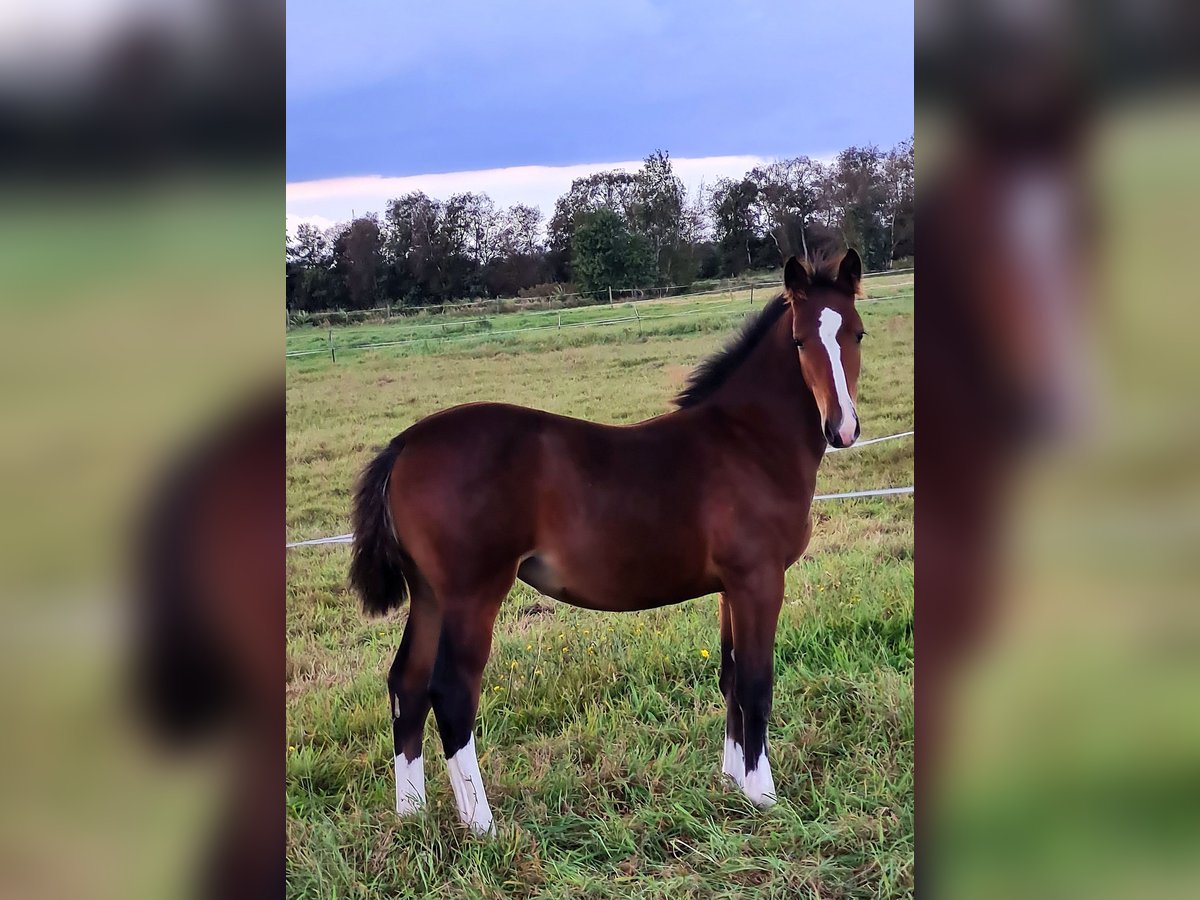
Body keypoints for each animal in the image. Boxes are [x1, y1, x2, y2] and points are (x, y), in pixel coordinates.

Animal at [348, 248, 864, 840]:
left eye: (857, 332)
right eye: (801, 341)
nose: (842, 428)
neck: (749, 441)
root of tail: (405, 443)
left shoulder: (731, 587)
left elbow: (731, 676)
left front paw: (732, 784)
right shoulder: (760, 580)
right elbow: (756, 681)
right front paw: (764, 798)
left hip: (430, 596)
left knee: (406, 686)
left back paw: (410, 814)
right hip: (470, 595)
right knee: (451, 693)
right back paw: (482, 826)